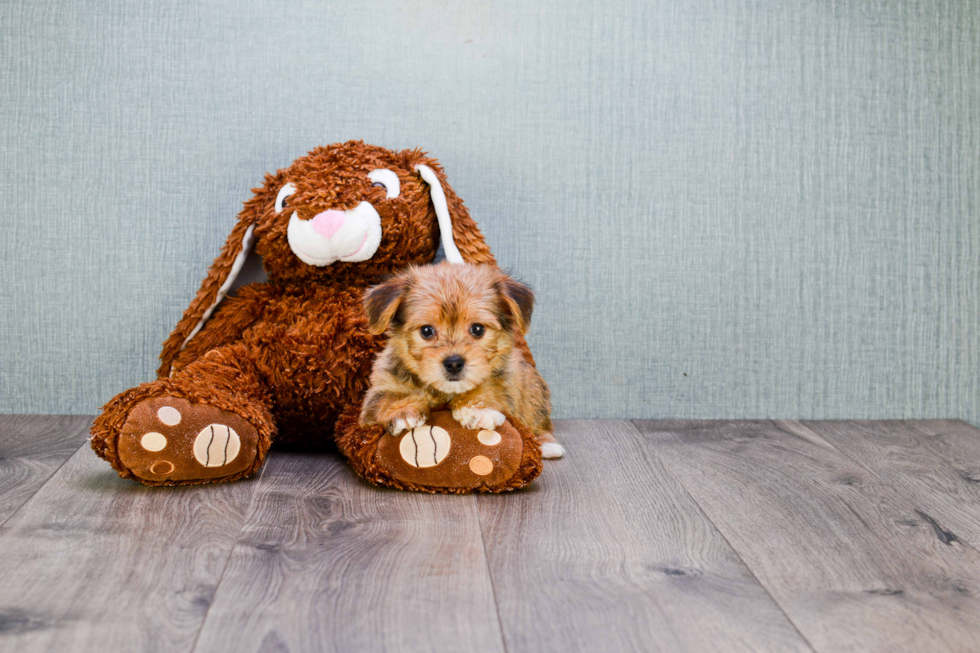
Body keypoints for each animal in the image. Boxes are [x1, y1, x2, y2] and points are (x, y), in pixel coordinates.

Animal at [360, 262, 564, 458]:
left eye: (478, 329)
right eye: (426, 330)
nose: (454, 363)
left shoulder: (507, 379)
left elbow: (490, 387)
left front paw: (476, 408)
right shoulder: (380, 389)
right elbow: (384, 398)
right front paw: (402, 411)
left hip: (532, 389)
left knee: (538, 419)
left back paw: (547, 444)